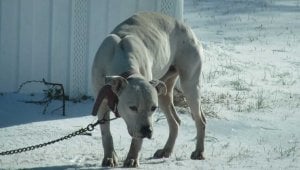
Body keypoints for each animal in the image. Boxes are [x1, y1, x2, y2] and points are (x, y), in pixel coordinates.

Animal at [91, 11, 205, 167]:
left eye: (153, 108)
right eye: (132, 107)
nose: (147, 130)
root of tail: (186, 27)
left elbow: (136, 141)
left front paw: (132, 158)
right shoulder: (102, 102)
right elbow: (106, 133)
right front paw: (109, 157)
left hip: (190, 85)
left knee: (200, 120)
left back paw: (199, 151)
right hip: (163, 92)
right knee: (175, 121)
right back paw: (166, 150)